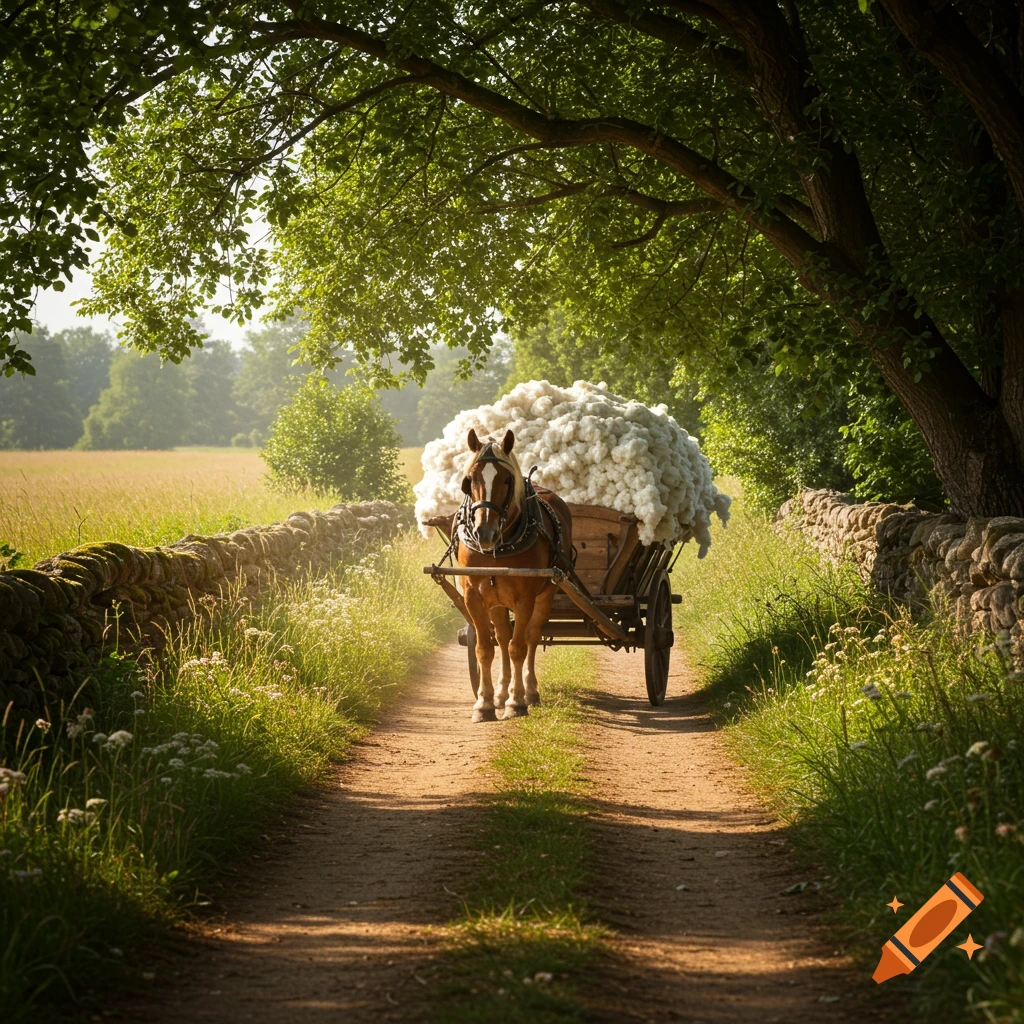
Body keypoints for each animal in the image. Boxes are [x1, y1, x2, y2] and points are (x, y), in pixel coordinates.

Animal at [456, 428, 573, 722]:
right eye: (469, 480)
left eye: (507, 479)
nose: (484, 533)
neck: (498, 549)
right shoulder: (474, 597)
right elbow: (485, 649)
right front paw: (485, 703)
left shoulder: (524, 598)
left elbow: (518, 647)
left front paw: (517, 701)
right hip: (497, 600)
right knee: (501, 637)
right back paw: (500, 691)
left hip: (546, 594)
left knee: (530, 637)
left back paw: (528, 691)